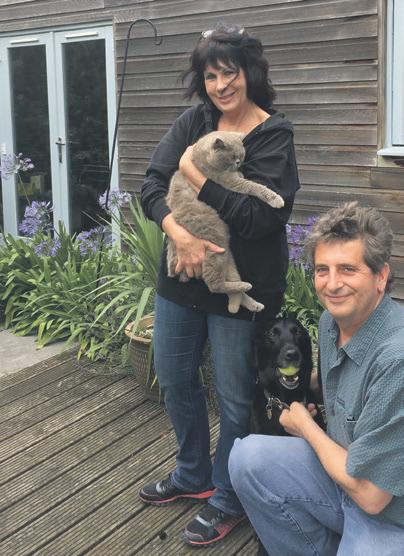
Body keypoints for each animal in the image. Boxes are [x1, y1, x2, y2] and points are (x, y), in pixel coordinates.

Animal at [165, 131, 284, 314]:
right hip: (214, 247)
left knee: (231, 286)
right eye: (233, 157)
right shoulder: (228, 181)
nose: (238, 164)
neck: (202, 156)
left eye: (241, 156)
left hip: (227, 256)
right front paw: (277, 200)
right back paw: (244, 288)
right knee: (214, 285)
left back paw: (248, 302)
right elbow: (255, 187)